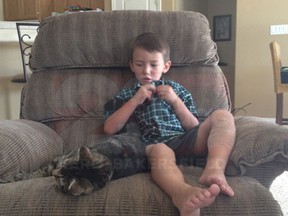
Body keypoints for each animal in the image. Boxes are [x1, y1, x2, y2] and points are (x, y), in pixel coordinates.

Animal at [14, 126, 147, 196]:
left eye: (60, 182)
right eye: (64, 163)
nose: (53, 174)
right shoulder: (59, 159)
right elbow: (41, 171)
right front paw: (20, 177)